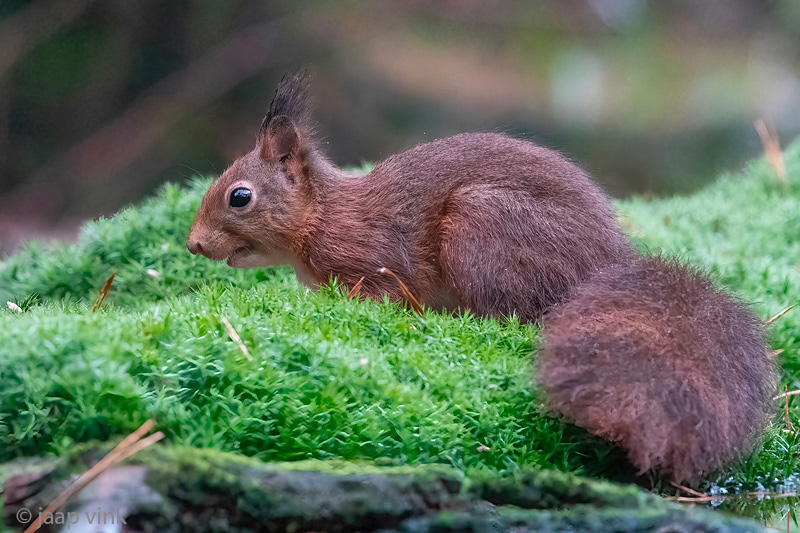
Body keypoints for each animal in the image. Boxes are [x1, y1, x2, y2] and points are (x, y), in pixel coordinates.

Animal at [186, 70, 776, 482]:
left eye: (240, 197)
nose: (193, 244)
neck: (322, 216)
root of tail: (606, 264)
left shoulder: (373, 263)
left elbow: (386, 297)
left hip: (481, 224)